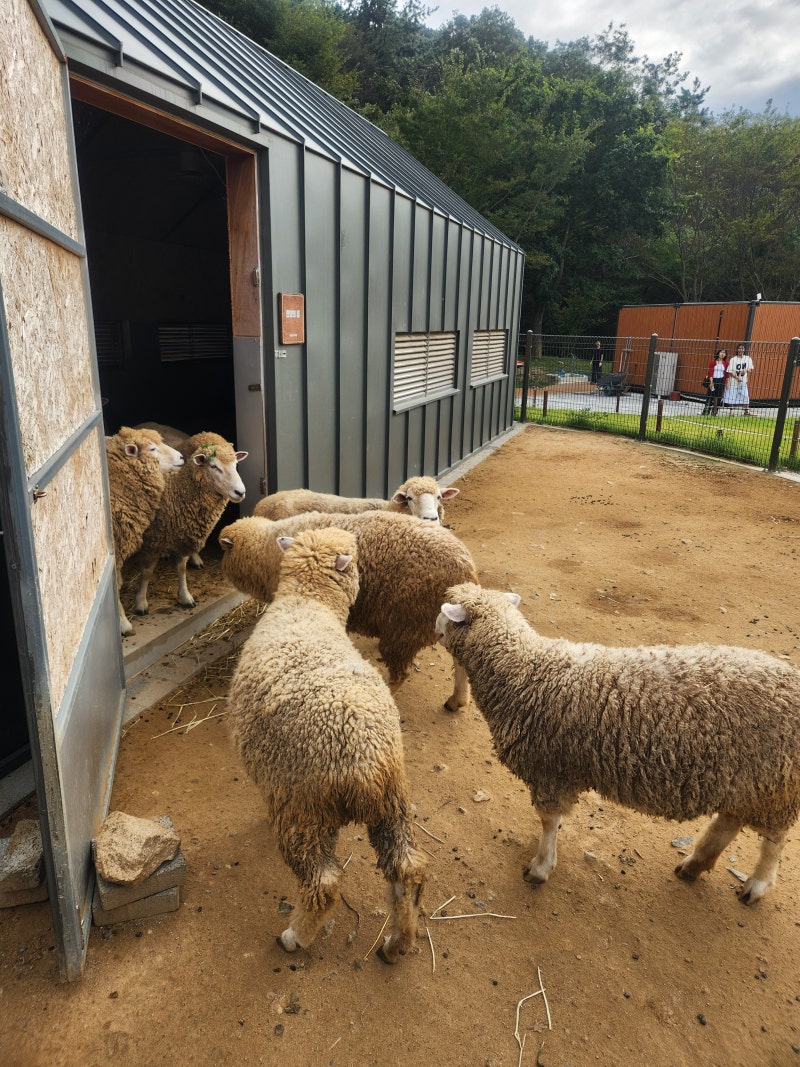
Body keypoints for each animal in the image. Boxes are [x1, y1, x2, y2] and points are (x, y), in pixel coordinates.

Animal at [130, 431, 248, 616]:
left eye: (236, 464)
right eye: (213, 466)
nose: (240, 492)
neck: (175, 490)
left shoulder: (183, 531)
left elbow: (182, 568)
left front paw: (185, 596)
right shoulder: (152, 541)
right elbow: (147, 573)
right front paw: (141, 602)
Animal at [218, 511, 476, 711]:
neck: (264, 550)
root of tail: (464, 570)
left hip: (405, 624)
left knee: (400, 673)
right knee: (460, 660)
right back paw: (457, 700)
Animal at [227, 527, 425, 962]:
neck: (308, 603)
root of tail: (365, 763)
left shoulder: (273, 777)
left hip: (304, 809)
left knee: (323, 885)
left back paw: (294, 937)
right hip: (394, 803)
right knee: (406, 871)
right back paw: (397, 943)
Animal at [435, 582, 800, 905]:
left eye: (444, 612)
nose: (435, 629)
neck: (526, 671)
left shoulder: (550, 769)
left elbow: (549, 822)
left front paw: (540, 866)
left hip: (776, 787)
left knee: (773, 841)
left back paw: (756, 885)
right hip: (747, 783)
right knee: (729, 822)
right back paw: (694, 865)